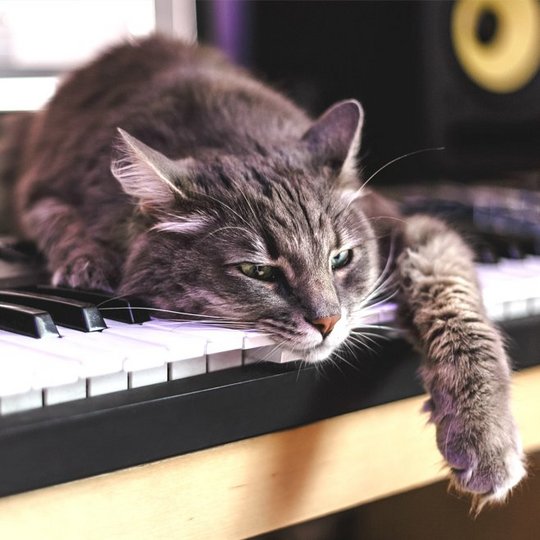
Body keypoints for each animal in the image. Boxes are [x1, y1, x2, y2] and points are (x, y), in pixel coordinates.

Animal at [3, 35, 528, 508]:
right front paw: (87, 266)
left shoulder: (418, 230)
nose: (328, 322)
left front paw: (486, 435)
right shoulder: (42, 192)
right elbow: (61, 225)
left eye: (340, 259)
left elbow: (457, 308)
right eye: (257, 271)